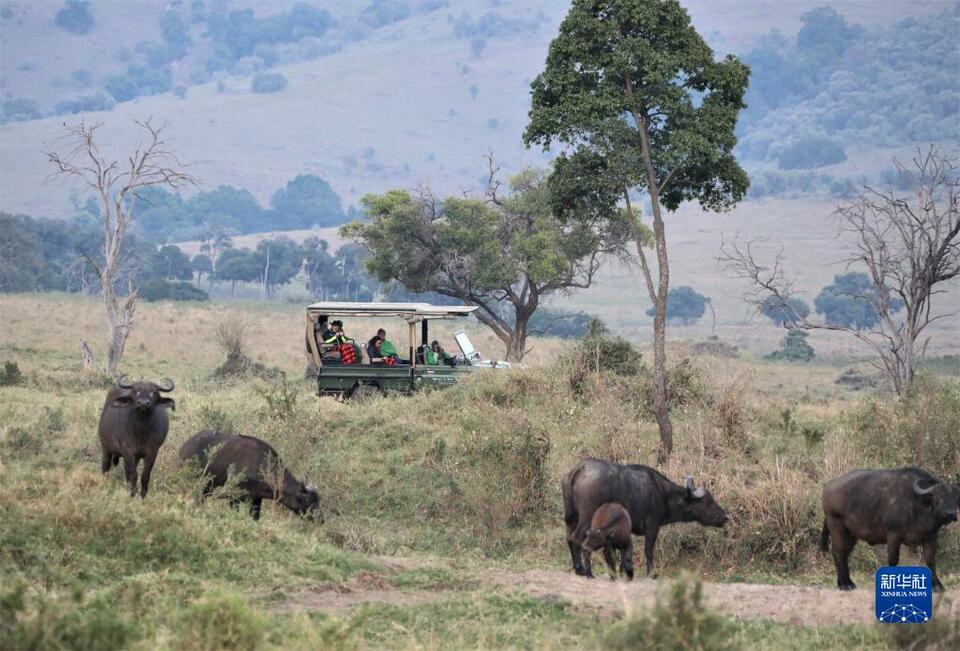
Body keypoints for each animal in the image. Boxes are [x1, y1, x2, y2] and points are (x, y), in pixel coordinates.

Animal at [182, 430, 324, 524]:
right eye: (309, 502)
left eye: (318, 501)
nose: (321, 519)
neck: (260, 464)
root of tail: (185, 446)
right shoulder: (233, 498)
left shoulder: (256, 499)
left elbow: (255, 518)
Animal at [564, 458, 728, 580]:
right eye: (708, 501)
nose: (726, 516)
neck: (663, 494)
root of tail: (579, 469)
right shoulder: (652, 527)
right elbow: (648, 550)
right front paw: (652, 573)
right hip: (586, 517)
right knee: (578, 538)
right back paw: (583, 570)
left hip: (570, 518)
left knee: (569, 538)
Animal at [816, 468, 960, 592]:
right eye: (937, 498)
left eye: (955, 499)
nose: (951, 513)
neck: (916, 506)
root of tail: (827, 488)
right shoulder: (893, 535)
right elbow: (893, 559)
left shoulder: (931, 538)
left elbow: (930, 560)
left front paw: (937, 585)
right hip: (837, 527)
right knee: (838, 552)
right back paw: (845, 585)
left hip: (851, 534)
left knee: (844, 553)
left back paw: (846, 582)